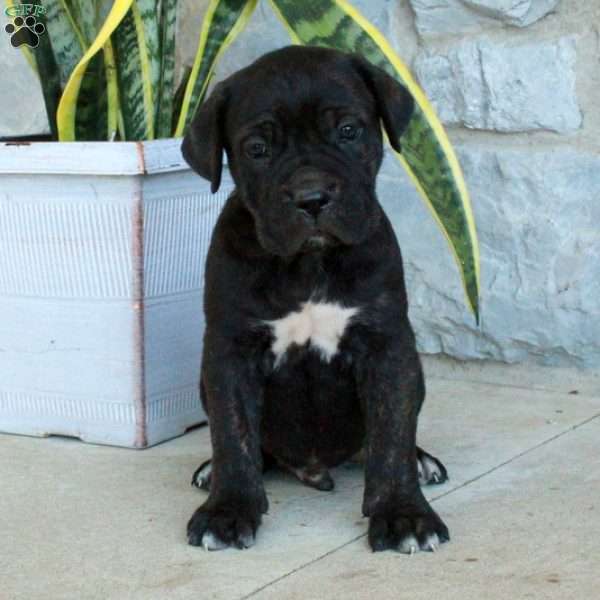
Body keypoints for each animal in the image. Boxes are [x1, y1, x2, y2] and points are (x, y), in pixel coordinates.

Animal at [183, 45, 450, 552]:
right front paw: (228, 509)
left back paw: (423, 460)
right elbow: (232, 435)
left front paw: (403, 513)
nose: (311, 197)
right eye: (257, 149)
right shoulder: (229, 353)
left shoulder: (386, 346)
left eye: (348, 131)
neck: (308, 264)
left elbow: (392, 435)